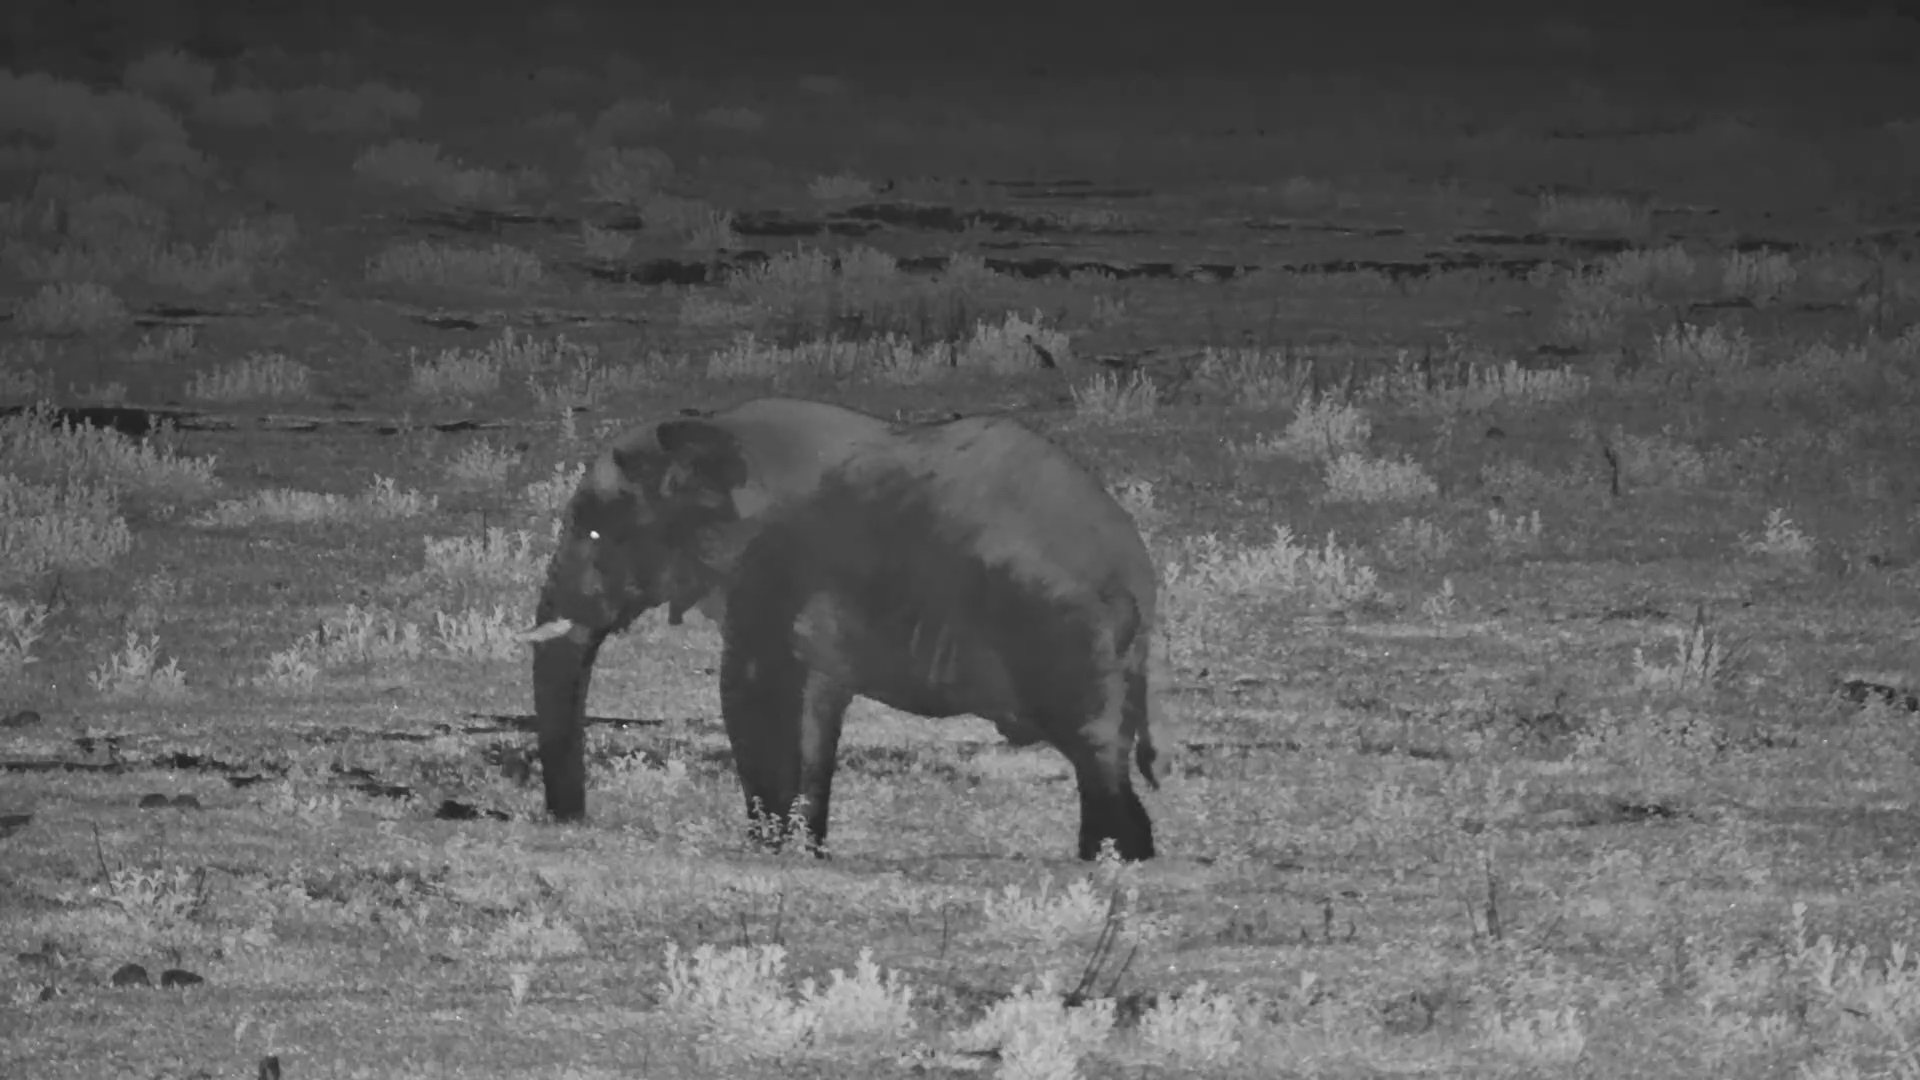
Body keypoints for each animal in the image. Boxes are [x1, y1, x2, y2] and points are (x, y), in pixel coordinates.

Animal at [520, 397, 1168, 861]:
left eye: (596, 532)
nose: (571, 821)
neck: (707, 428)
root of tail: (1138, 573)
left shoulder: (779, 574)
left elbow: (758, 696)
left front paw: (776, 850)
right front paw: (797, 849)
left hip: (1064, 635)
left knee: (1096, 755)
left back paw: (1118, 859)